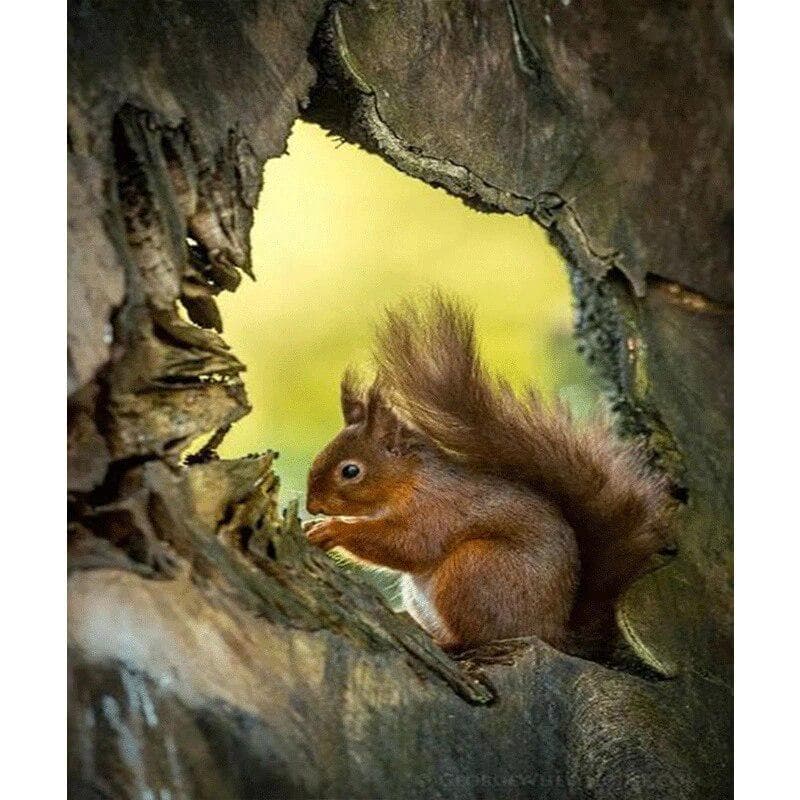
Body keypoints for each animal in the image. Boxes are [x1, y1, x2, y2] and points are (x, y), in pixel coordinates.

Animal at [305, 293, 672, 657]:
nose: (312, 506)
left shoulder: (436, 510)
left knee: (476, 637)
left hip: (475, 570)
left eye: (350, 471)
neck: (409, 480)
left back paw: (444, 641)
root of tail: (551, 632)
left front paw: (332, 529)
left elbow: (409, 545)